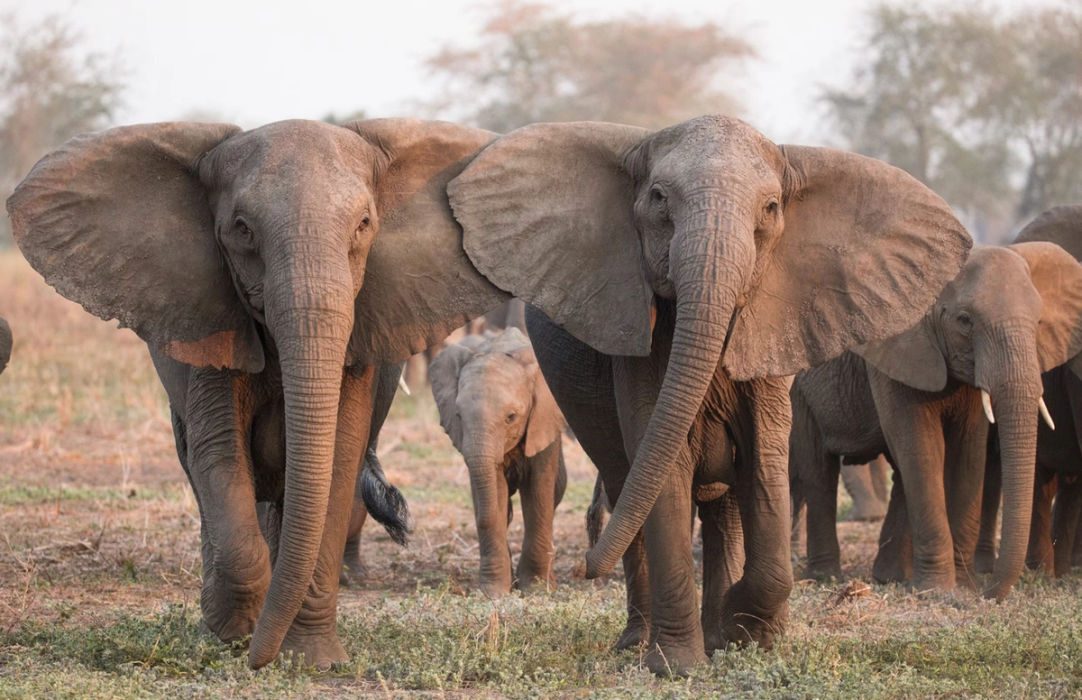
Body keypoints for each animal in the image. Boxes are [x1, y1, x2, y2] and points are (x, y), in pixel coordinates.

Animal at [7, 118, 509, 669]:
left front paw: (310, 660)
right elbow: (219, 454)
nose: (256, 659)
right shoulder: (210, 323)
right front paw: (233, 636)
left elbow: (337, 459)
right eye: (242, 229)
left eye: (363, 224)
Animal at [430, 328, 567, 596]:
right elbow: (494, 488)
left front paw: (536, 590)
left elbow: (539, 494)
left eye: (511, 417)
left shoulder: (544, 421)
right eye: (458, 415)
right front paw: (493, 593)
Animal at [446, 115, 972, 674]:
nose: (585, 567)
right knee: (628, 486)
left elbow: (764, 461)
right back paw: (639, 641)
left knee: (723, 507)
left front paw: (746, 631)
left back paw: (718, 631)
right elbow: (664, 465)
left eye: (771, 208)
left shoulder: (773, 329)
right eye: (658, 198)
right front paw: (676, 665)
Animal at [789, 243, 1082, 599]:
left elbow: (967, 453)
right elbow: (923, 449)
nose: (987, 592)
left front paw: (962, 586)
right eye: (964, 321)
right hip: (799, 389)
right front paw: (938, 590)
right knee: (819, 471)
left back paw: (890, 576)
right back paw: (825, 576)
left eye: (1039, 322)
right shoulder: (896, 348)